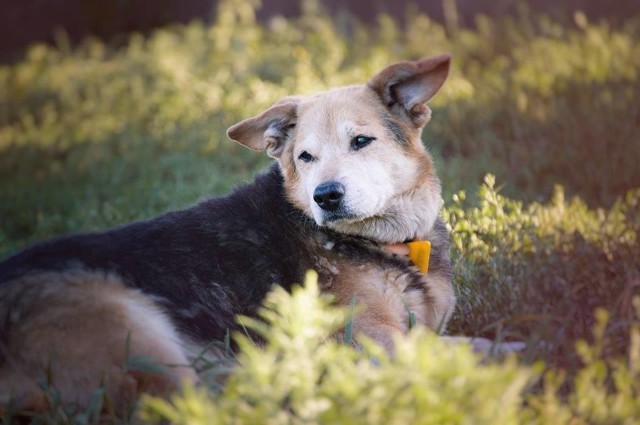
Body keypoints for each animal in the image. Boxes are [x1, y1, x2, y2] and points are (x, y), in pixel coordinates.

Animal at [0, 54, 456, 412]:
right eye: (305, 157)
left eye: (362, 141)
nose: (325, 196)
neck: (389, 244)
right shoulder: (376, 340)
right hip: (139, 333)